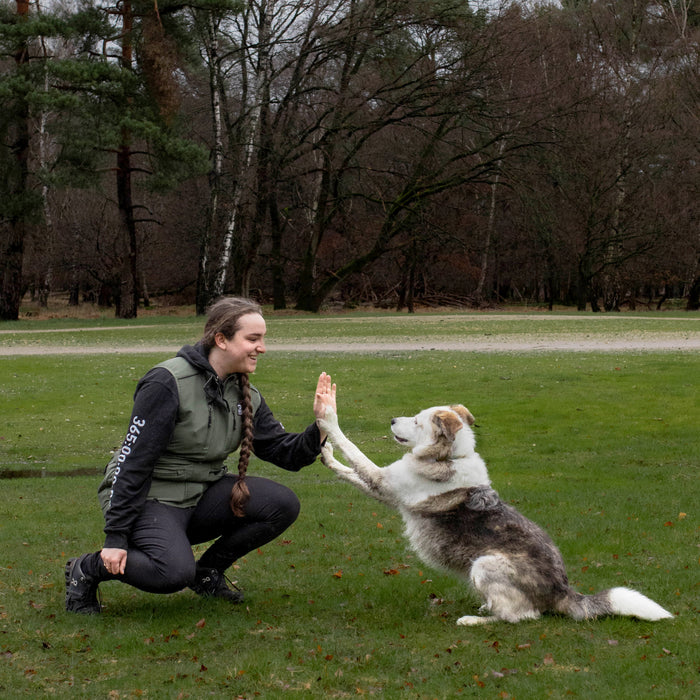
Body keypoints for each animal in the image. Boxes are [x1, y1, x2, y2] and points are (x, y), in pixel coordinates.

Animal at [320, 402, 676, 628]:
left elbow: (352, 450)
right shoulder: (383, 490)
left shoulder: (383, 483)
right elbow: (347, 470)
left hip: (483, 564)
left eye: (419, 421)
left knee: (523, 617)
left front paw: (327, 419)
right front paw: (325, 454)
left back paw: (475, 620)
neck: (449, 457)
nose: (393, 419)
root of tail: (564, 591)